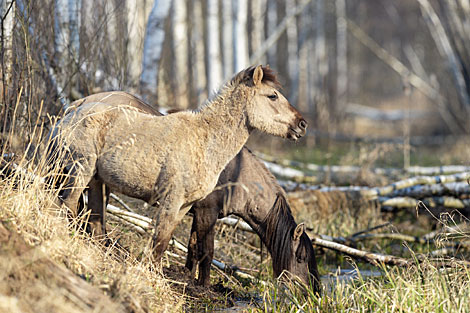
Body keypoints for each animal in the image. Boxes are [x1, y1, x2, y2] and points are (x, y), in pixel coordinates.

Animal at [46, 66, 306, 260]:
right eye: (272, 96)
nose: (302, 124)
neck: (204, 140)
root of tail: (72, 110)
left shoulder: (184, 207)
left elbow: (162, 244)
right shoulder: (171, 201)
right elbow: (159, 241)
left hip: (96, 181)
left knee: (93, 220)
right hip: (80, 170)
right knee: (67, 205)